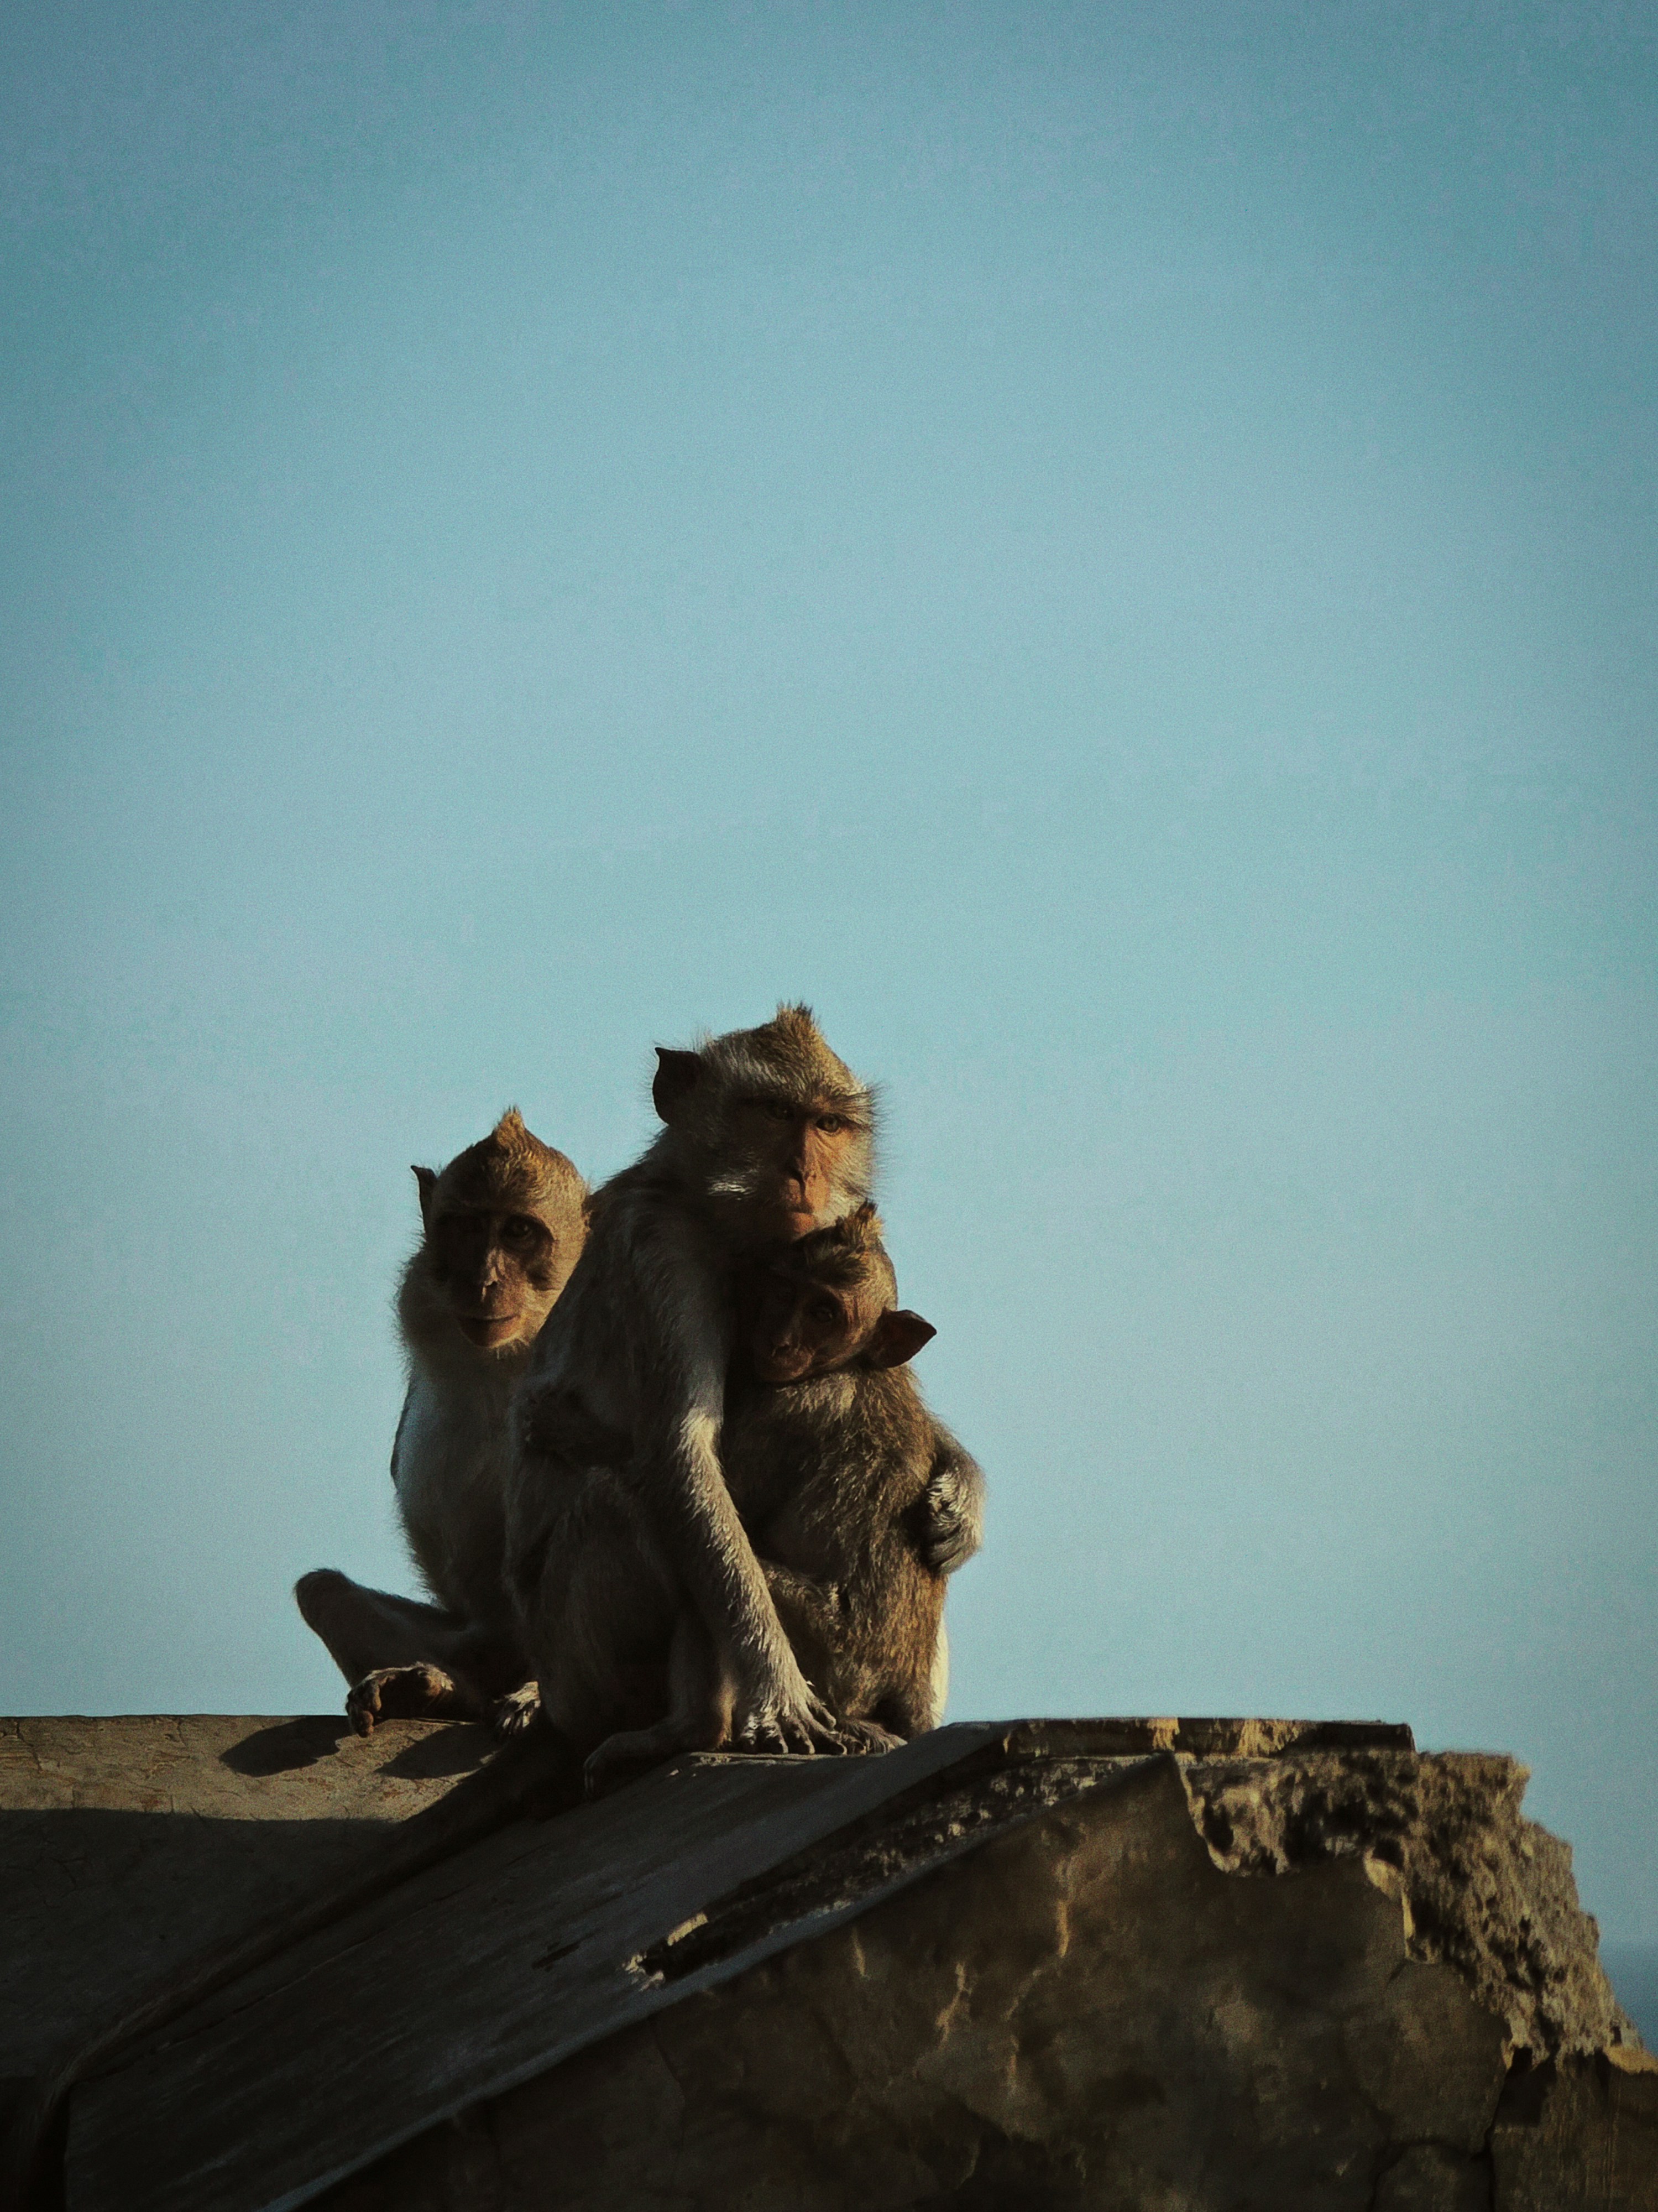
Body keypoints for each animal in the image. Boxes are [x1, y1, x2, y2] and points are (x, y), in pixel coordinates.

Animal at [296, 1109, 587, 1735]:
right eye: (466, 1229)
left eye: (518, 1232)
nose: (481, 1280)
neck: (504, 1359)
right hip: (480, 1643)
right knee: (322, 1592)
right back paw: (444, 1692)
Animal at [506, 1005, 890, 1767]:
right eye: (774, 1112)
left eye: (828, 1124)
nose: (805, 1172)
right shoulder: (662, 1249)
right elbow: (680, 1453)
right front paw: (779, 1689)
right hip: (572, 1667)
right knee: (624, 1499)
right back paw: (684, 1727)